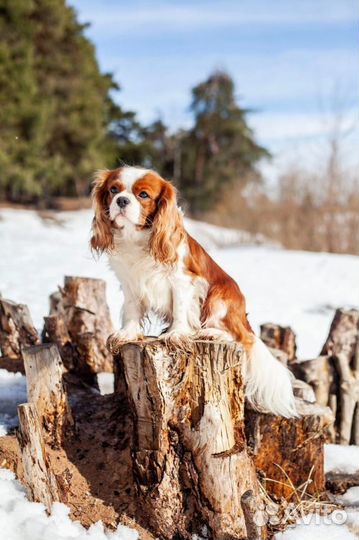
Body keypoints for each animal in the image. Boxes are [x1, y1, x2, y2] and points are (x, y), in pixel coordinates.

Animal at [90, 165, 298, 418]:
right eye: (113, 190)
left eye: (143, 195)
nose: (121, 200)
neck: (136, 238)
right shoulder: (130, 284)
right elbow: (132, 310)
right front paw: (128, 333)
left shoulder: (182, 280)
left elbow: (180, 309)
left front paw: (176, 333)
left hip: (219, 298)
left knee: (241, 337)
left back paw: (211, 333)